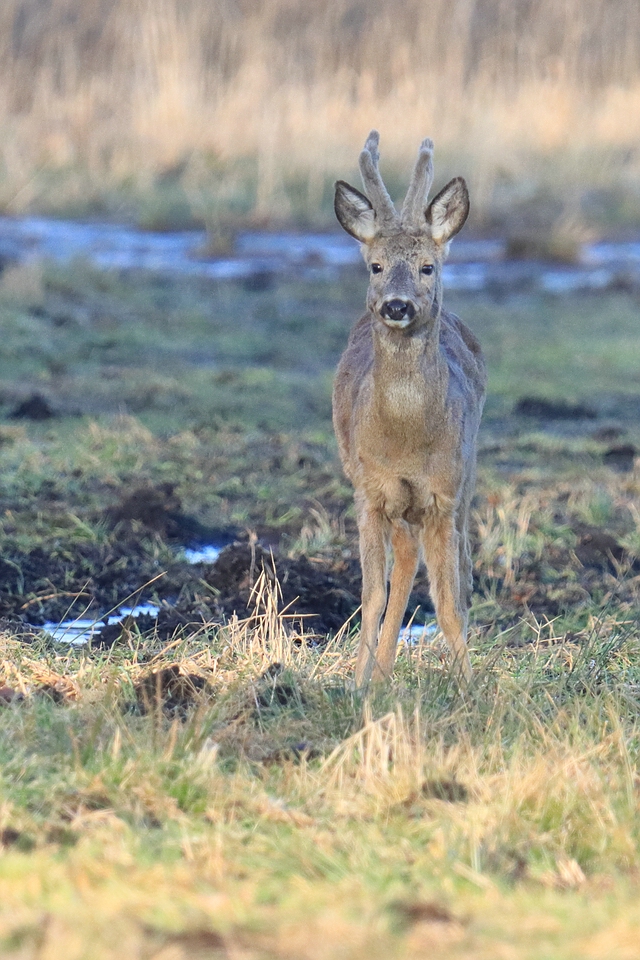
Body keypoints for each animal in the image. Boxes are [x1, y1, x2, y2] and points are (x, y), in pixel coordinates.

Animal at [336, 131, 484, 688]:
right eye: (375, 265)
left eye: (428, 266)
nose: (396, 305)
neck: (404, 440)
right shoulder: (372, 489)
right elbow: (373, 594)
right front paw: (359, 682)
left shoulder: (443, 491)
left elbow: (448, 602)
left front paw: (470, 685)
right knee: (400, 566)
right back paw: (378, 674)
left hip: (468, 475)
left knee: (457, 565)